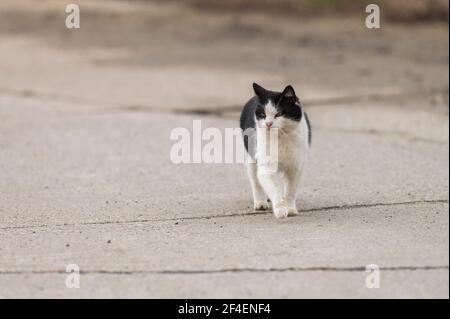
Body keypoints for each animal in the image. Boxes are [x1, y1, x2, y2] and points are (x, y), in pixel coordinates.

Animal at [241, 83, 312, 220]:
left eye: (278, 114)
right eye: (263, 114)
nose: (268, 124)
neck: (281, 137)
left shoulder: (295, 167)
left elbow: (290, 190)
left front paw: (290, 209)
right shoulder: (266, 167)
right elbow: (274, 188)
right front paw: (280, 209)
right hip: (251, 158)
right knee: (255, 181)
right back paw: (260, 202)